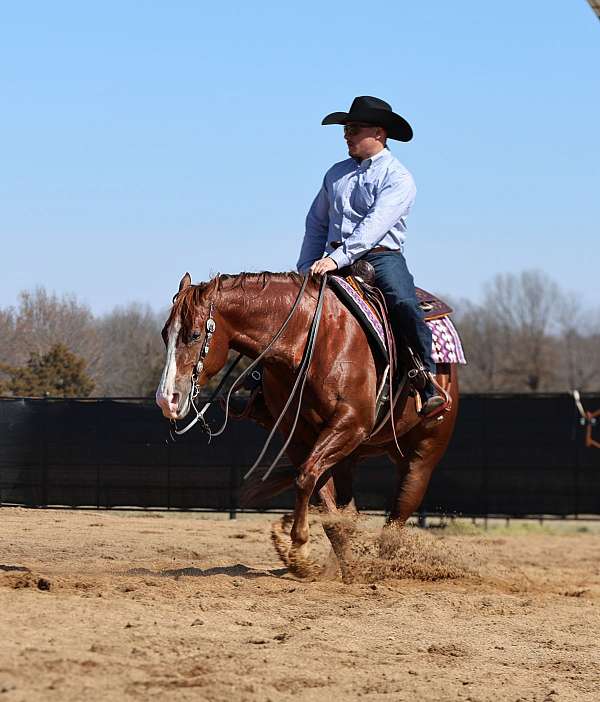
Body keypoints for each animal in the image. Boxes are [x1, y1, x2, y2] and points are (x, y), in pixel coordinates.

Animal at [156, 272, 460, 580]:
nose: (166, 399)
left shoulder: (351, 423)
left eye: (195, 334)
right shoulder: (298, 435)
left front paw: (299, 547)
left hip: (422, 455)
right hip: (349, 458)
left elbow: (305, 477)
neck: (307, 342)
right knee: (350, 510)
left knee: (398, 515)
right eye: (164, 334)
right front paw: (322, 562)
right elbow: (319, 493)